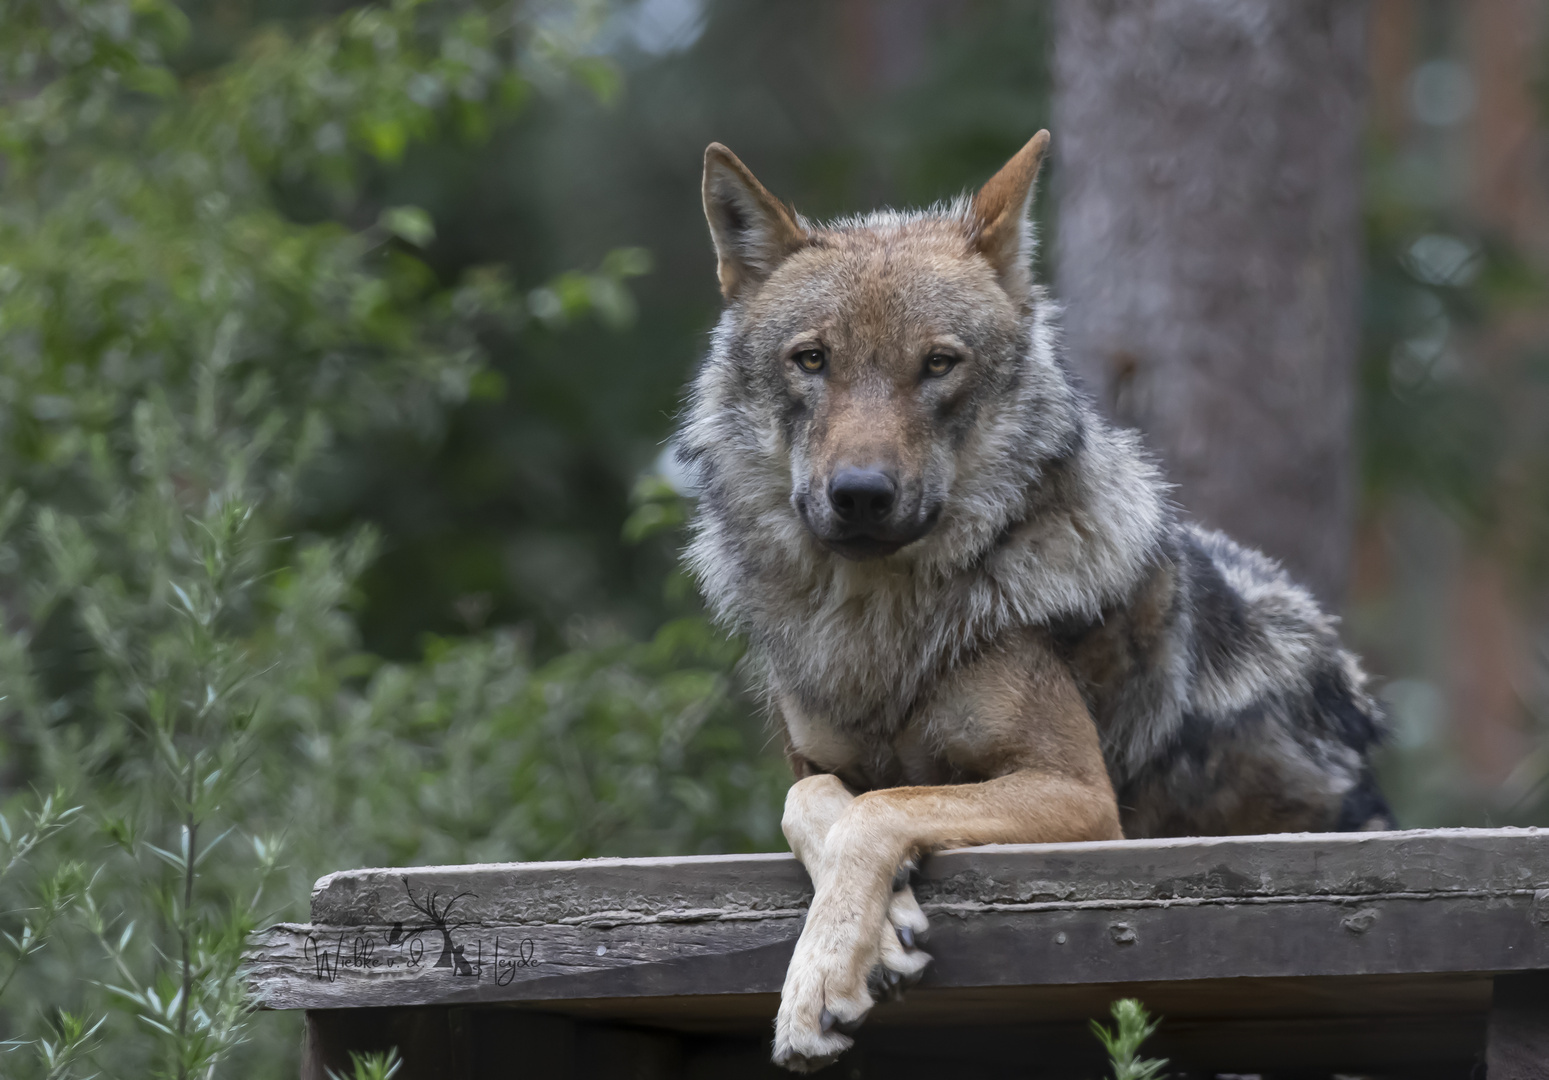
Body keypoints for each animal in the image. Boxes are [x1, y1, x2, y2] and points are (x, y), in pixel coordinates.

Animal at [675, 128, 1394, 1072]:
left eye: (937, 364)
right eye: (812, 360)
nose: (860, 494)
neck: (881, 630)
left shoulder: (1077, 796)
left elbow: (881, 807)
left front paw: (819, 982)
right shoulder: (814, 767)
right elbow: (819, 803)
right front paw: (882, 930)